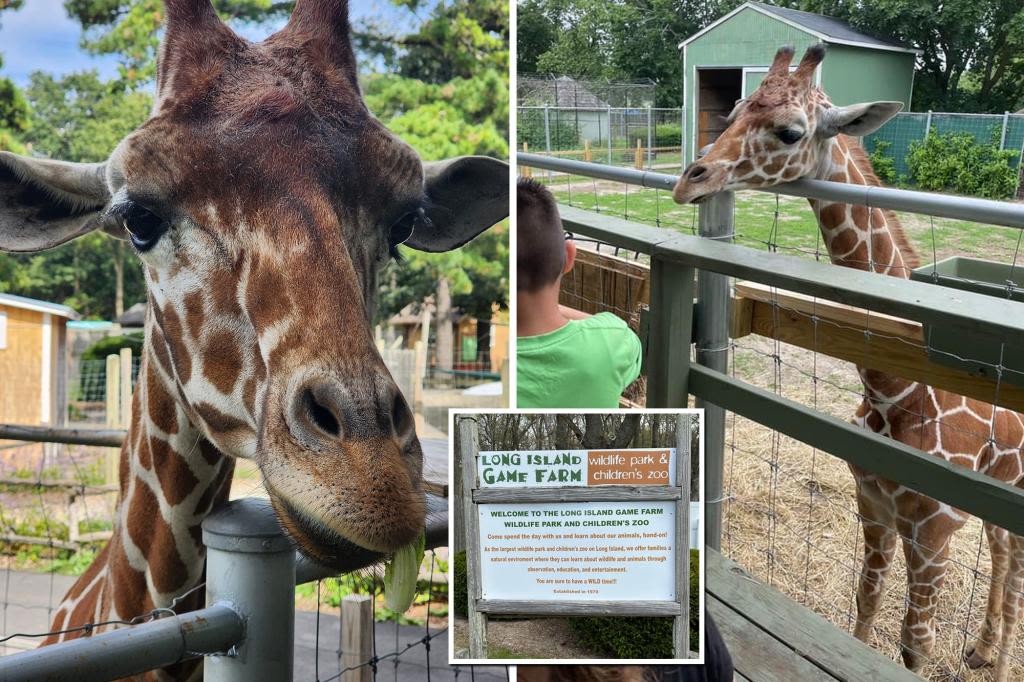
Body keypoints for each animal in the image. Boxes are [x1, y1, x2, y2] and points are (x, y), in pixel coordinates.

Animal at [671, 45, 1024, 675]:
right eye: (733, 109)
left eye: (790, 131)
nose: (689, 182)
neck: (895, 391)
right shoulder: (873, 506)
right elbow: (866, 600)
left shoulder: (932, 533)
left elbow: (915, 644)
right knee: (1003, 554)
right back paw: (983, 650)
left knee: (1017, 572)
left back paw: (1000, 660)